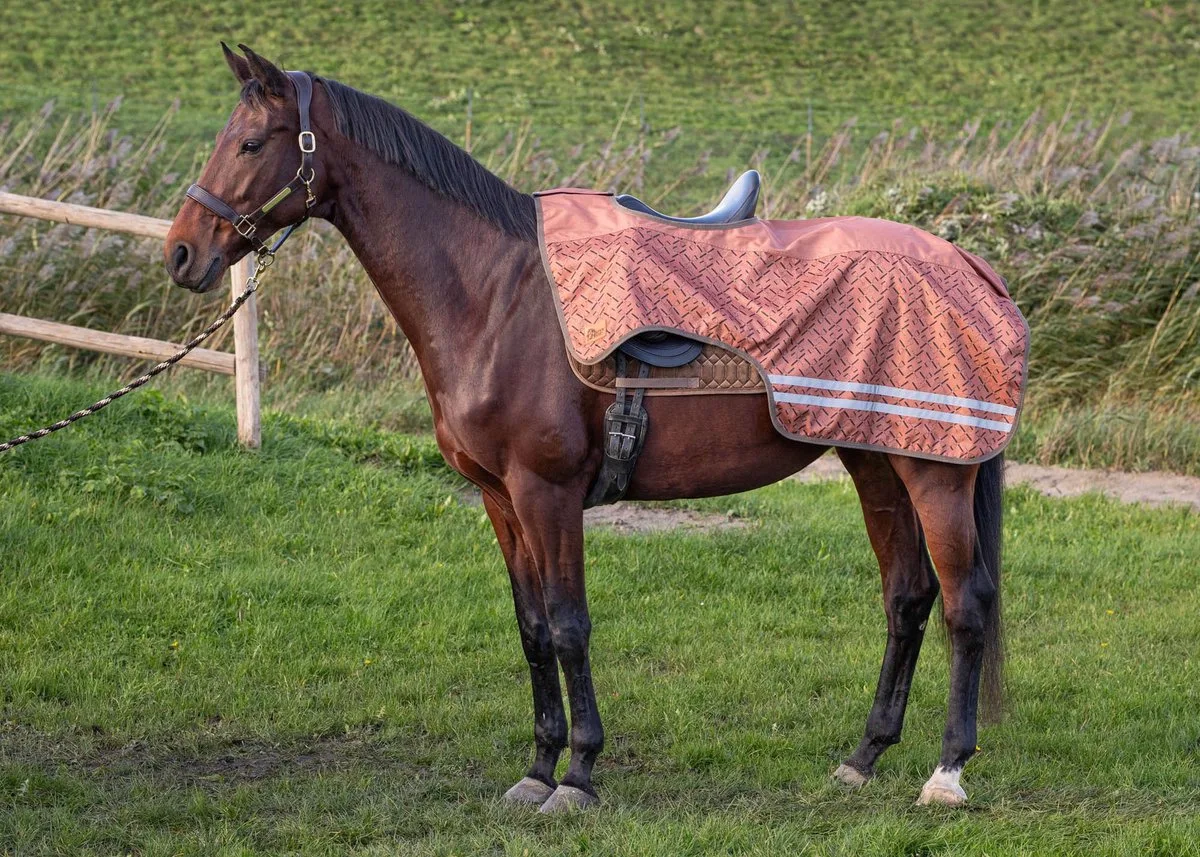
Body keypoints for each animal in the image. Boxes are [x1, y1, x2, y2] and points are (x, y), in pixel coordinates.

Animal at [165, 44, 1006, 811]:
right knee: (906, 597)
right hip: (877, 463)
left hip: (937, 471)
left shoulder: (549, 493)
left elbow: (570, 626)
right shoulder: (500, 499)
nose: (182, 252)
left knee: (964, 604)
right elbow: (533, 628)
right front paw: (538, 768)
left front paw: (577, 776)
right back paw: (863, 756)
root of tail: (972, 268)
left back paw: (947, 771)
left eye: (251, 142)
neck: (496, 299)